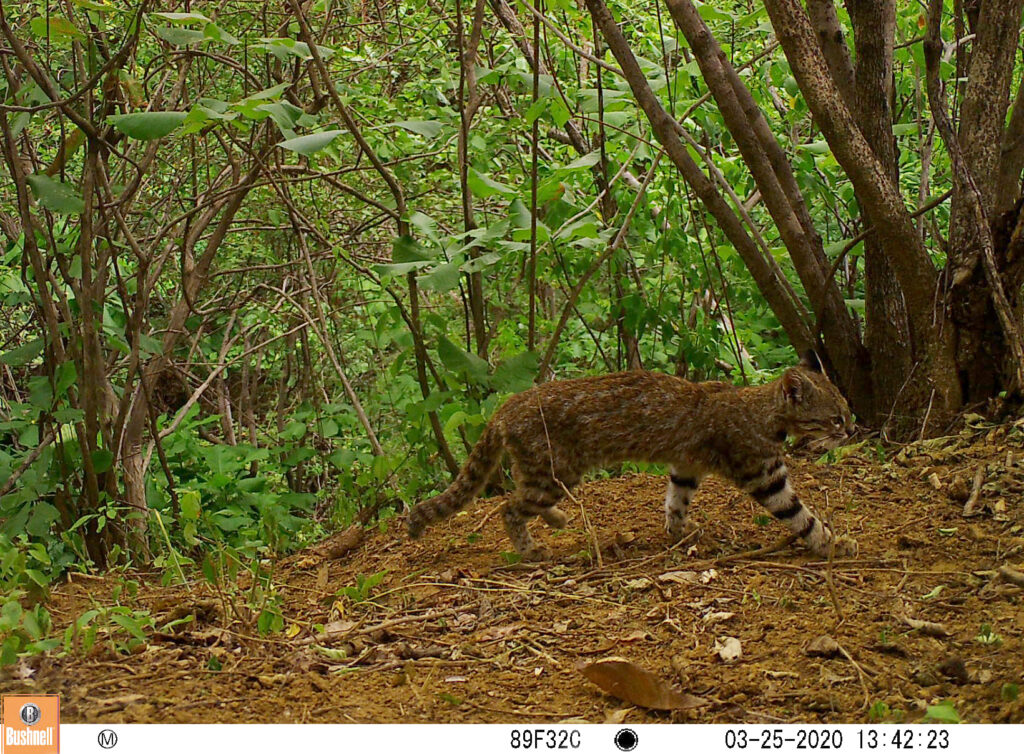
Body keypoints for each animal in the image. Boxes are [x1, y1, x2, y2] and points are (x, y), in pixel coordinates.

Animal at [407, 352, 856, 561]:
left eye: (847, 410)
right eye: (836, 417)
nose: (853, 430)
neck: (762, 411)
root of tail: (506, 405)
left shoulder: (686, 466)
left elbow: (676, 501)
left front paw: (679, 531)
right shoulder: (765, 475)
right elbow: (802, 516)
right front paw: (832, 543)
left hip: (548, 473)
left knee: (519, 498)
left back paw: (556, 520)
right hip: (554, 471)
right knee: (509, 507)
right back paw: (531, 549)